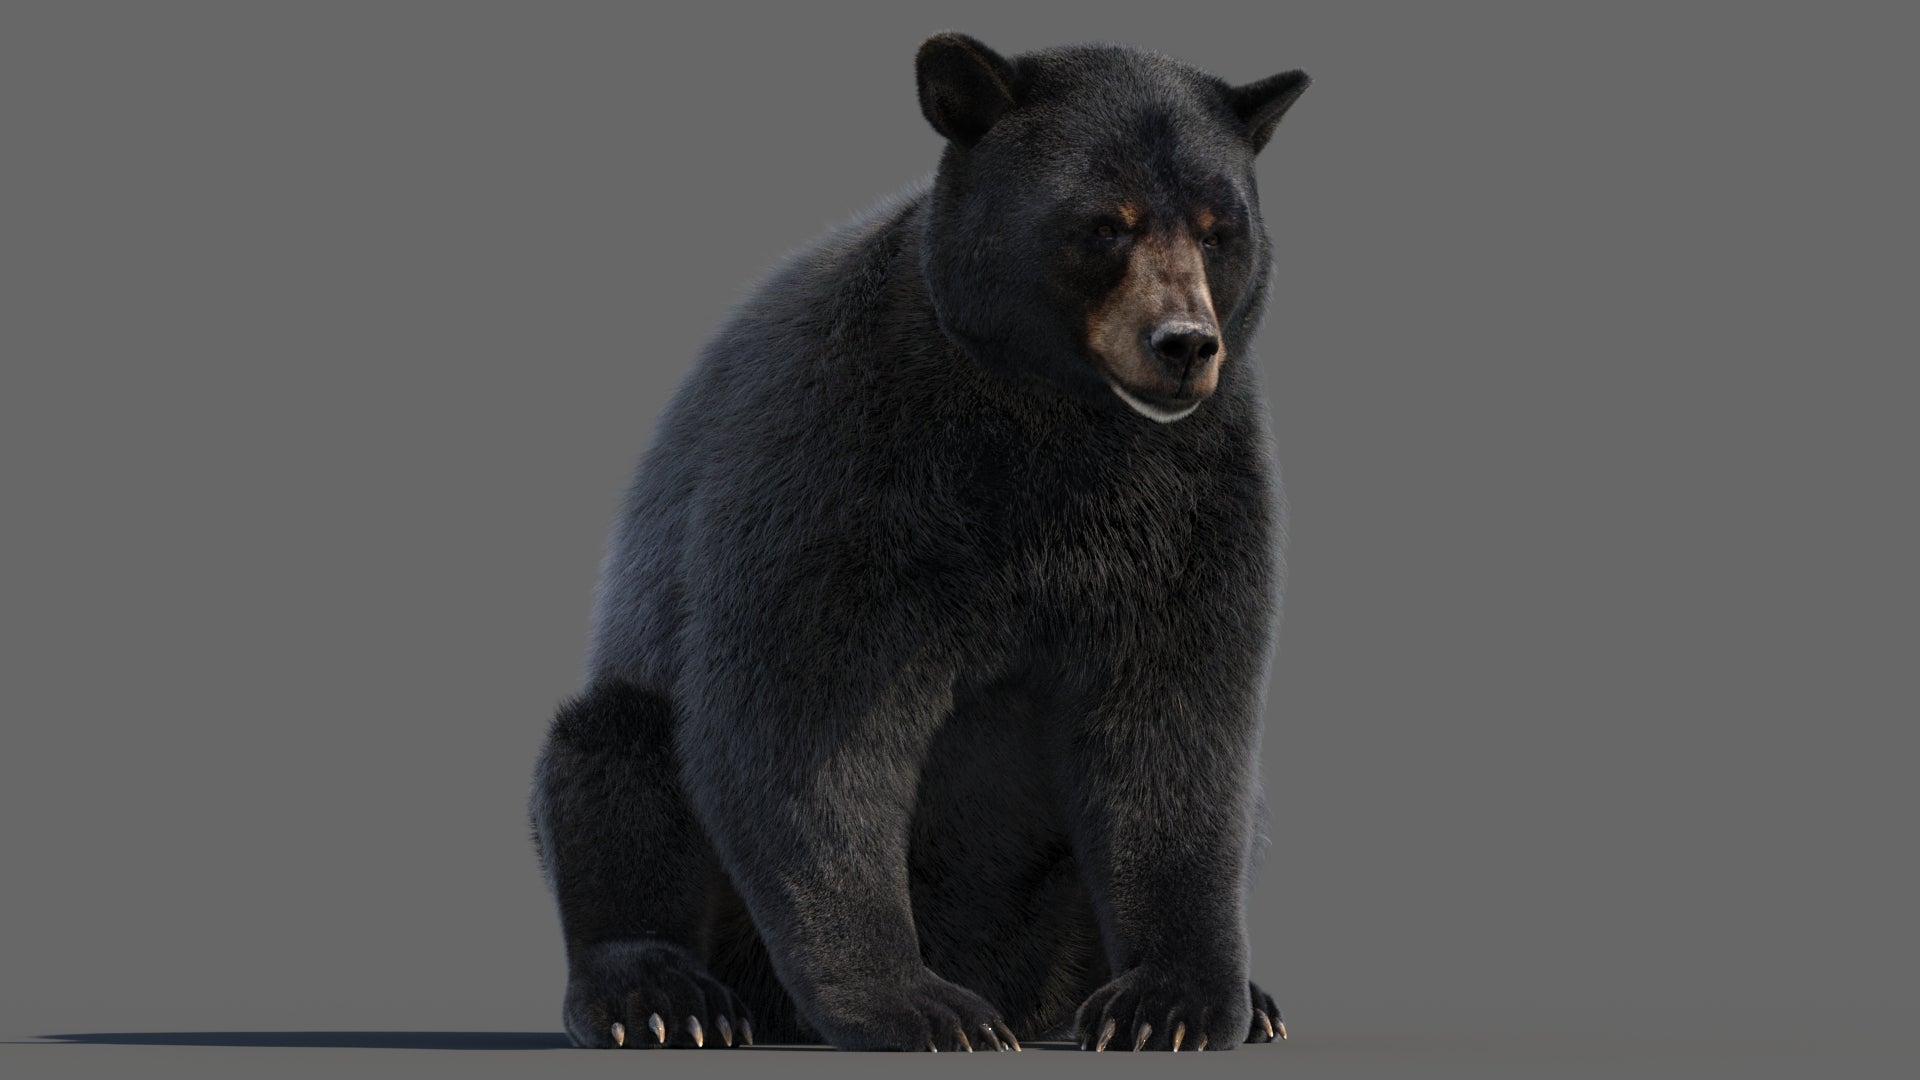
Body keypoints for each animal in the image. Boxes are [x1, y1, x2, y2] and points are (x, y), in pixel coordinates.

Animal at [529, 32, 1309, 1052]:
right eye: (1106, 223)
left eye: (1220, 230)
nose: (1184, 344)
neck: (1052, 417)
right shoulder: (849, 453)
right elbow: (803, 720)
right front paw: (920, 1006)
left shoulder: (1194, 493)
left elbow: (1176, 730)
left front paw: (1169, 1005)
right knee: (610, 764)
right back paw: (663, 999)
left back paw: (1245, 1001)